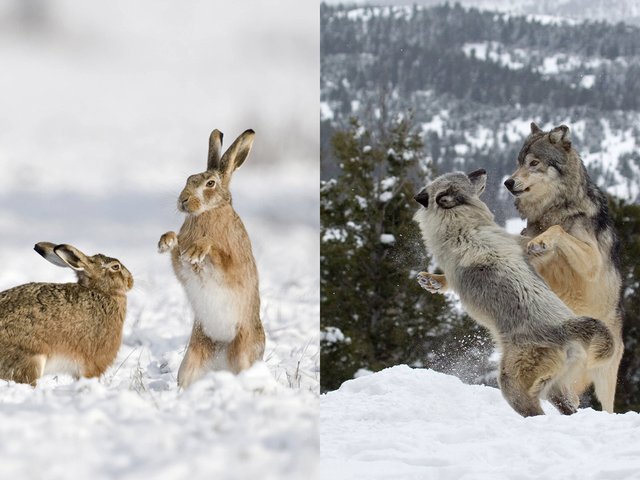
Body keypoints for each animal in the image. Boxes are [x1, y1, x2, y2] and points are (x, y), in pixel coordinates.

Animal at [159, 128, 266, 390]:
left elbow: (217, 251)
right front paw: (167, 240)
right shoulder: (183, 269)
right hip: (194, 355)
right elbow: (178, 255)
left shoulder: (233, 266)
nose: (183, 200)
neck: (207, 211)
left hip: (243, 350)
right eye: (189, 179)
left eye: (210, 184)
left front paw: (197, 250)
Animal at [416, 170, 616, 416]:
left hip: (513, 386)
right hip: (551, 390)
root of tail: (562, 329)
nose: (483, 170)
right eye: (467, 177)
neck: (459, 223)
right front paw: (431, 281)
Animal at [502, 122, 624, 410]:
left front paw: (542, 241)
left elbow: (558, 231)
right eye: (519, 162)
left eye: (534, 163)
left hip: (604, 378)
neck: (556, 208)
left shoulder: (592, 261)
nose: (508, 182)